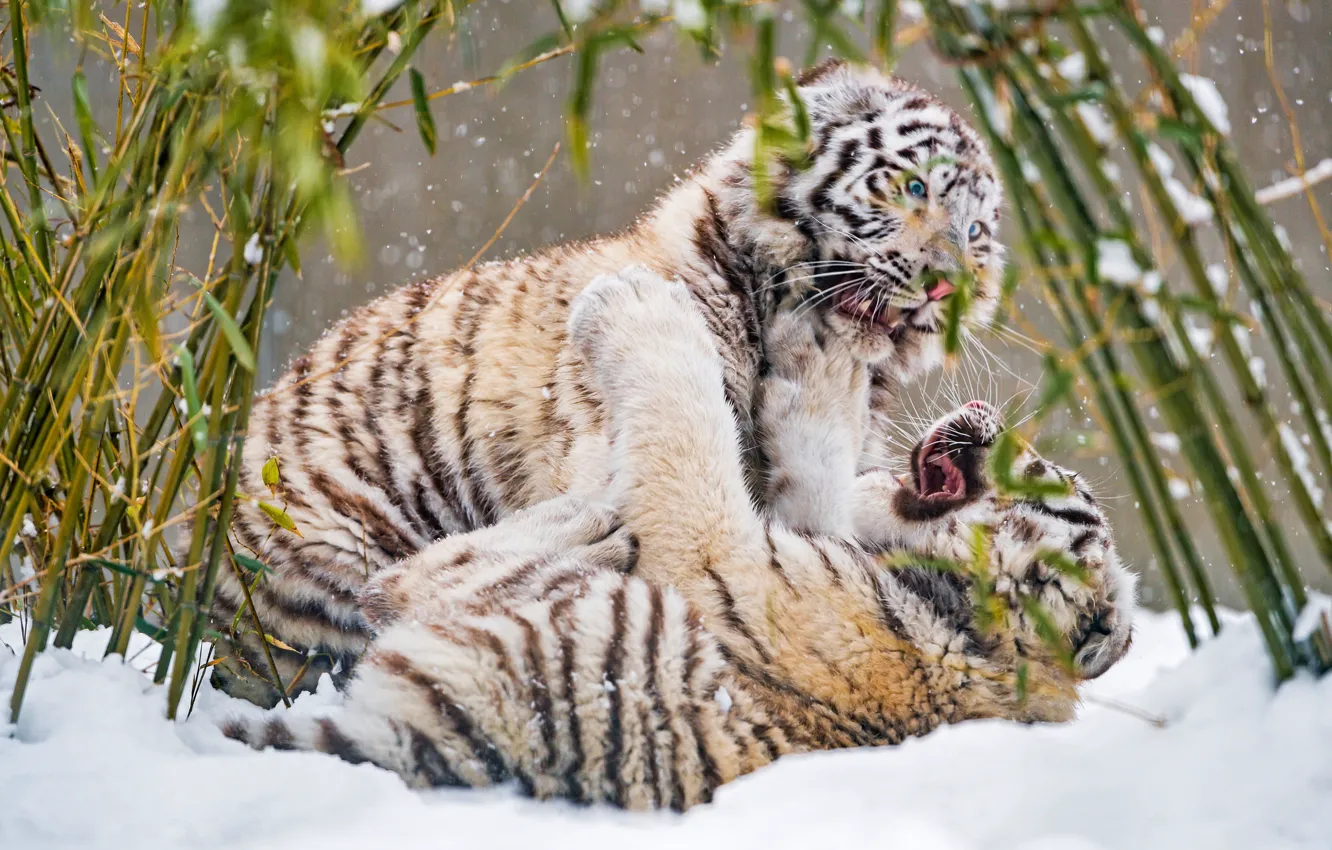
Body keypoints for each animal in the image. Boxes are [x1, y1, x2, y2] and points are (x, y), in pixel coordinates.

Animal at [221, 270, 1136, 811]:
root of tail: (446, 743)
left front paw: (633, 302)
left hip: (570, 630)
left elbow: (687, 421)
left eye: (1051, 478)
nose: (986, 417)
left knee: (408, 583)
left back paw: (590, 516)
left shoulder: (720, 556)